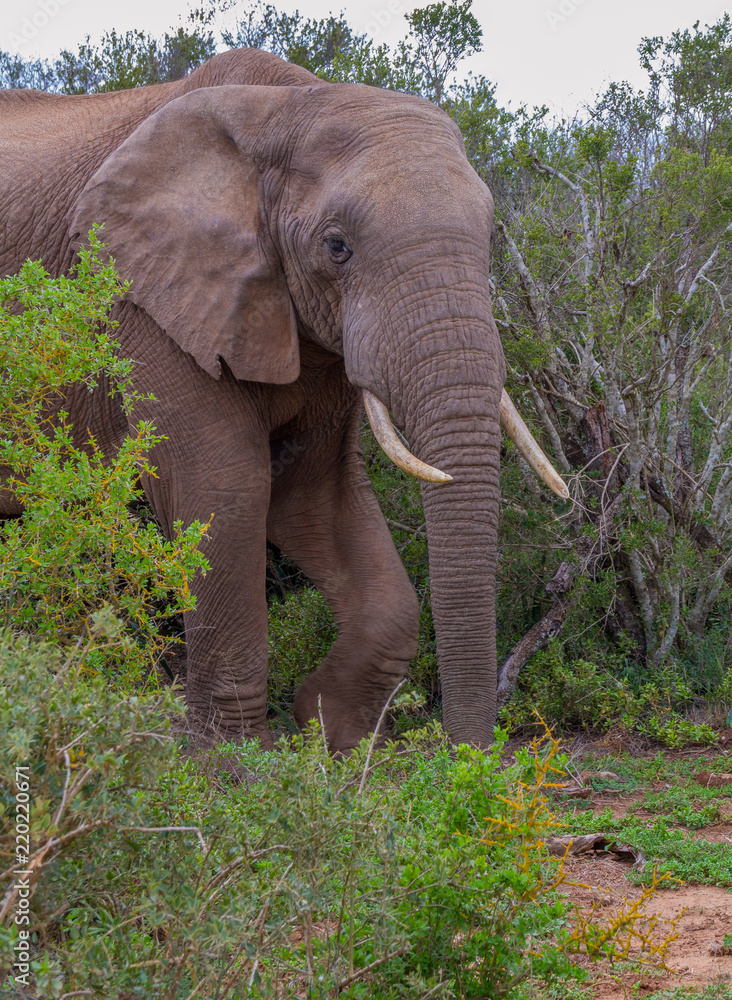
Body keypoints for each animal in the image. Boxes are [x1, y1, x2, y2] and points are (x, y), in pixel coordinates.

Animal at [0, 47, 567, 752]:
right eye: (337, 245)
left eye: (492, 237)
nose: (468, 759)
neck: (286, 109)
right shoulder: (144, 302)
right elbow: (225, 486)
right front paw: (236, 763)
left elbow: (317, 492)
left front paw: (329, 736)